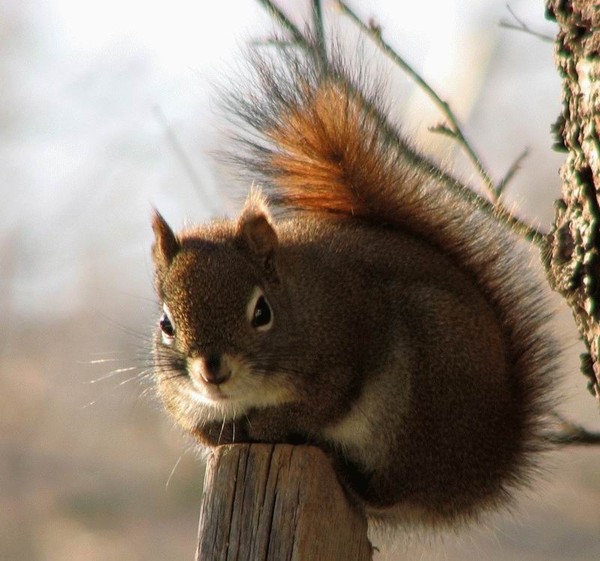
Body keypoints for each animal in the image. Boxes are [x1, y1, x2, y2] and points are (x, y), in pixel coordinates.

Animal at [150, 42, 556, 524]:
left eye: (262, 312)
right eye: (166, 324)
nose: (212, 371)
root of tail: (490, 464)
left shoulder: (343, 350)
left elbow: (320, 403)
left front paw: (268, 424)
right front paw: (227, 430)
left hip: (422, 400)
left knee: (388, 491)